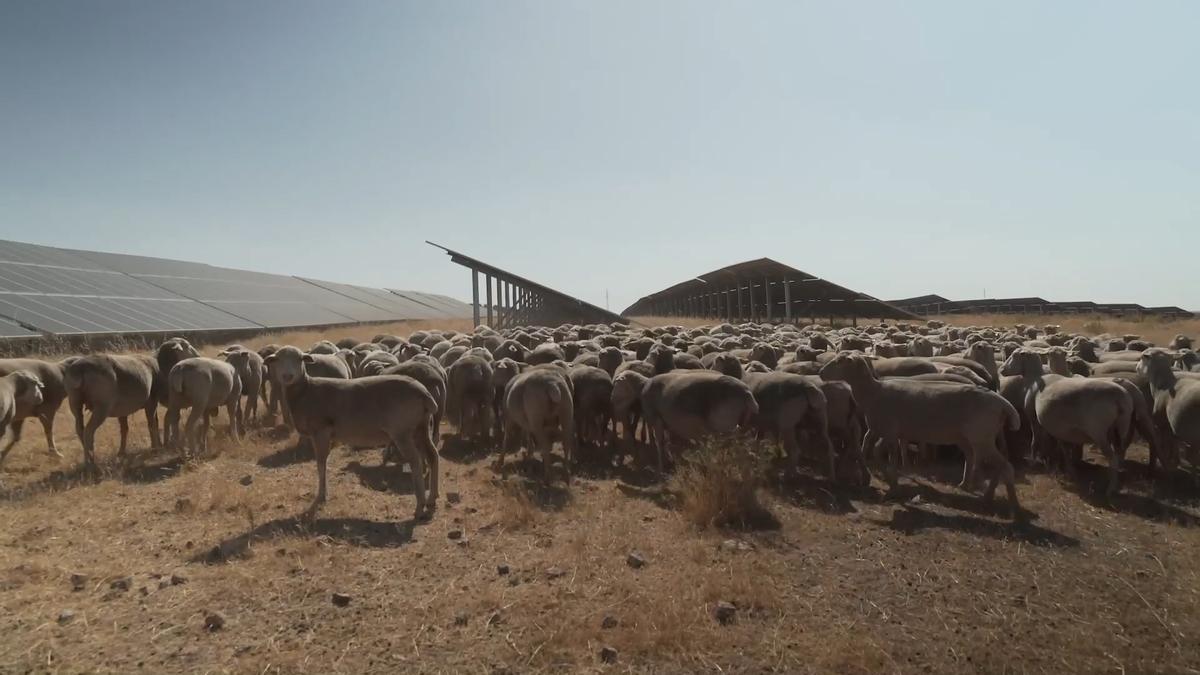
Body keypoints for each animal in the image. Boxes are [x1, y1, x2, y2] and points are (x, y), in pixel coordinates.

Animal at [262, 343, 441, 516]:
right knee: (432, 456)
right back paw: (432, 499)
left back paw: (420, 507)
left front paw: (321, 496)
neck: (306, 391)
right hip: (421, 428)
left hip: (402, 432)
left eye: (300, 359)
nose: (288, 376)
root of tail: (424, 393)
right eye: (277, 360)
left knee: (416, 461)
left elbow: (321, 463)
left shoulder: (321, 431)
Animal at [820, 353, 1027, 514]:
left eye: (840, 361)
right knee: (978, 459)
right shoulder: (885, 431)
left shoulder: (889, 431)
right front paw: (890, 482)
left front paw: (892, 486)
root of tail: (1001, 402)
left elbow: (882, 453)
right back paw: (973, 488)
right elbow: (876, 451)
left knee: (1005, 466)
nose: (821, 373)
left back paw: (1012, 506)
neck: (873, 392)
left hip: (981, 437)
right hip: (970, 438)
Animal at [998, 348, 1128, 497]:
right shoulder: (1058, 427)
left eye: (1014, 355)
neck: (1034, 379)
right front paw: (1065, 468)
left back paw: (1110, 489)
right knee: (1119, 454)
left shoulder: (1034, 419)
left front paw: (1034, 461)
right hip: (1118, 430)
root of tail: (1118, 396)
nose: (1001, 370)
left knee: (1112, 459)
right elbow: (1062, 447)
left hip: (1098, 432)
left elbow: (1036, 441)